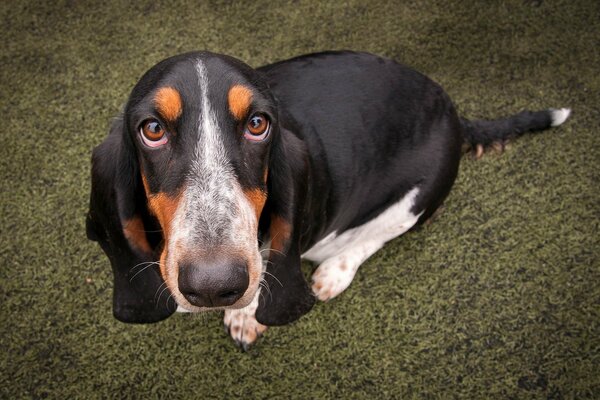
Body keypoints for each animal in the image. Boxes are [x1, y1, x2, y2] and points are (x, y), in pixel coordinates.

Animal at [85, 50, 572, 350]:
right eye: (152, 130)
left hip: (417, 197)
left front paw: (249, 317)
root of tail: (453, 112)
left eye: (258, 124)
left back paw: (332, 274)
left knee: (378, 235)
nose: (212, 286)